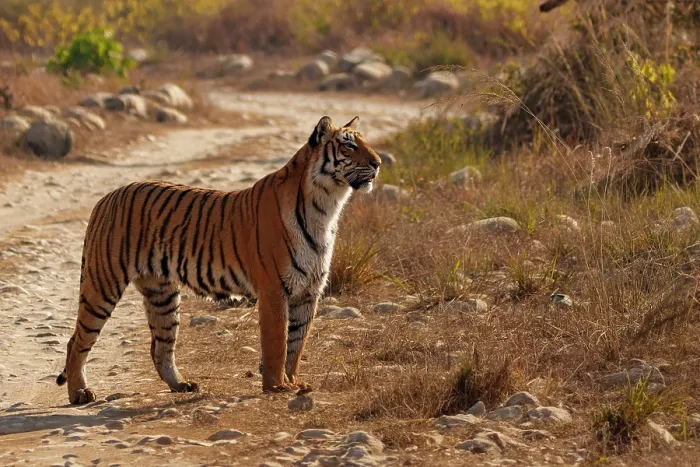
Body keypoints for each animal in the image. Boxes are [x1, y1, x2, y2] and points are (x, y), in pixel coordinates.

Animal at [56, 115, 381, 404]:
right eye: (348, 145)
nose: (378, 163)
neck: (326, 205)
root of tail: (107, 197)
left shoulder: (309, 291)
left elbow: (297, 343)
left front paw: (294, 382)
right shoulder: (274, 290)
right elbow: (277, 342)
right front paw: (276, 386)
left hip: (162, 294)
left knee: (161, 346)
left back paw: (182, 385)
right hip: (103, 283)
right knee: (77, 340)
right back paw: (79, 393)